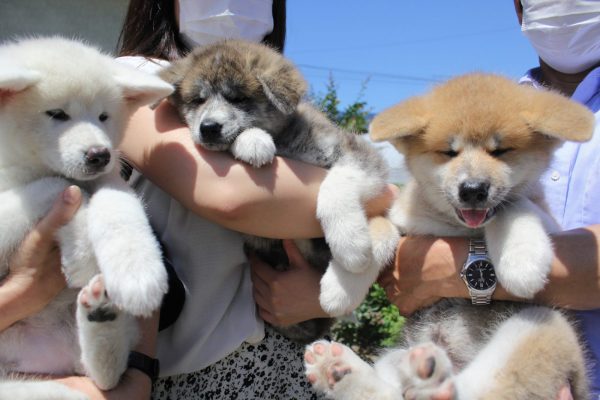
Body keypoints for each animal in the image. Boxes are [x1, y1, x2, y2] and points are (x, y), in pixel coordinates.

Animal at [0, 37, 173, 400]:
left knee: (104, 377)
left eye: (104, 116)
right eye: (57, 114)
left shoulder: (110, 179)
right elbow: (62, 185)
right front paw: (79, 248)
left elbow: (119, 208)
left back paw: (102, 320)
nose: (99, 154)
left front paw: (137, 272)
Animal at [159, 39, 398, 343]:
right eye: (198, 100)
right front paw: (253, 142)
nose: (209, 128)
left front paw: (349, 241)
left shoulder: (359, 155)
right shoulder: (259, 234)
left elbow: (336, 184)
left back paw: (342, 284)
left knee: (382, 234)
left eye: (238, 98)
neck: (286, 143)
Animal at [305, 73, 594, 399]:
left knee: (476, 389)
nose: (473, 189)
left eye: (500, 151)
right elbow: (380, 227)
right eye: (449, 152)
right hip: (396, 356)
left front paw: (521, 262)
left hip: (541, 324)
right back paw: (337, 369)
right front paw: (343, 282)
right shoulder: (403, 222)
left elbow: (513, 205)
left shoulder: (551, 223)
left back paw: (430, 380)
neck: (457, 227)